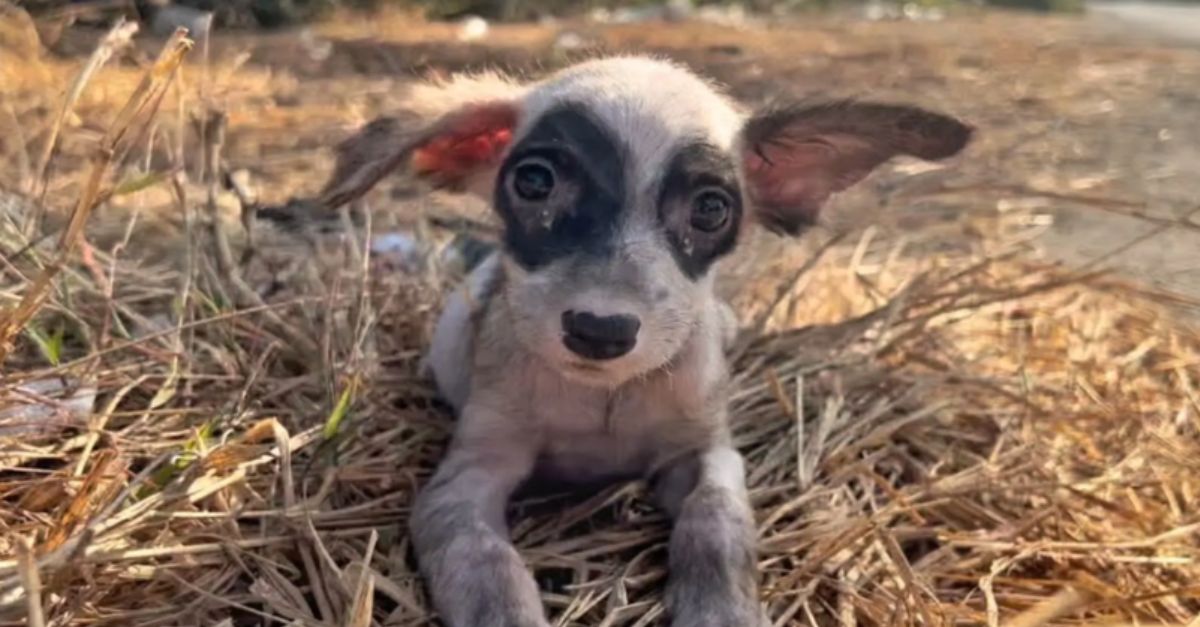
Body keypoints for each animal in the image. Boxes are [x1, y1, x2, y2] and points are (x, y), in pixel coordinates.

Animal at [388, 56, 969, 619]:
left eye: (711, 209)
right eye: (534, 182)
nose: (600, 330)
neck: (606, 397)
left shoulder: (707, 453)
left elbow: (715, 522)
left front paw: (721, 611)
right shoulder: (463, 480)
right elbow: (487, 566)